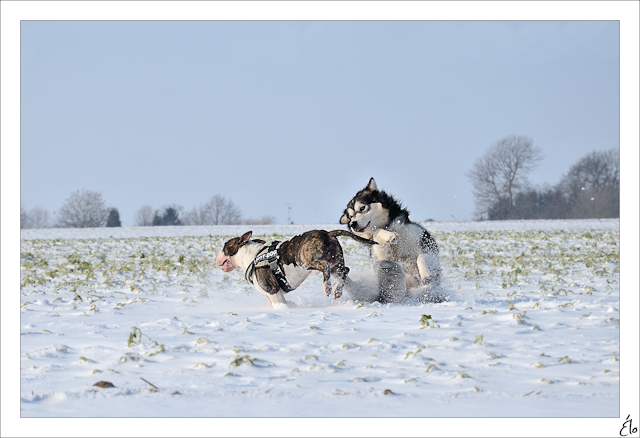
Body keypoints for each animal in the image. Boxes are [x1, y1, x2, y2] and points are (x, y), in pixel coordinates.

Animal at [216, 231, 376, 306]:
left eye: (224, 246)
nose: (216, 258)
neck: (252, 256)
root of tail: (327, 233)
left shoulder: (272, 290)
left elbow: (281, 303)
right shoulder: (270, 296)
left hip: (305, 261)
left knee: (325, 267)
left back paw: (328, 287)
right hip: (336, 262)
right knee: (345, 271)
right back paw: (337, 290)